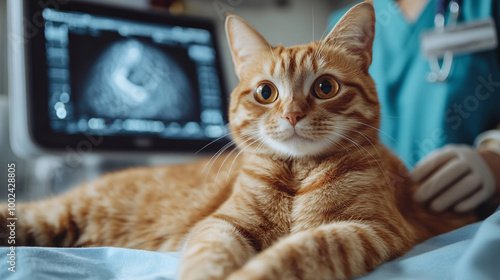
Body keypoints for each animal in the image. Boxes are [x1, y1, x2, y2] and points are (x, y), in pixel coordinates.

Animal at [0, 2, 476, 280]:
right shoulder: (223, 223)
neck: (298, 176)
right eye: (266, 92)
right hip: (59, 214)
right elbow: (211, 253)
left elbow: (304, 252)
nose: (292, 115)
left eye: (325, 87)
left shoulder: (369, 229)